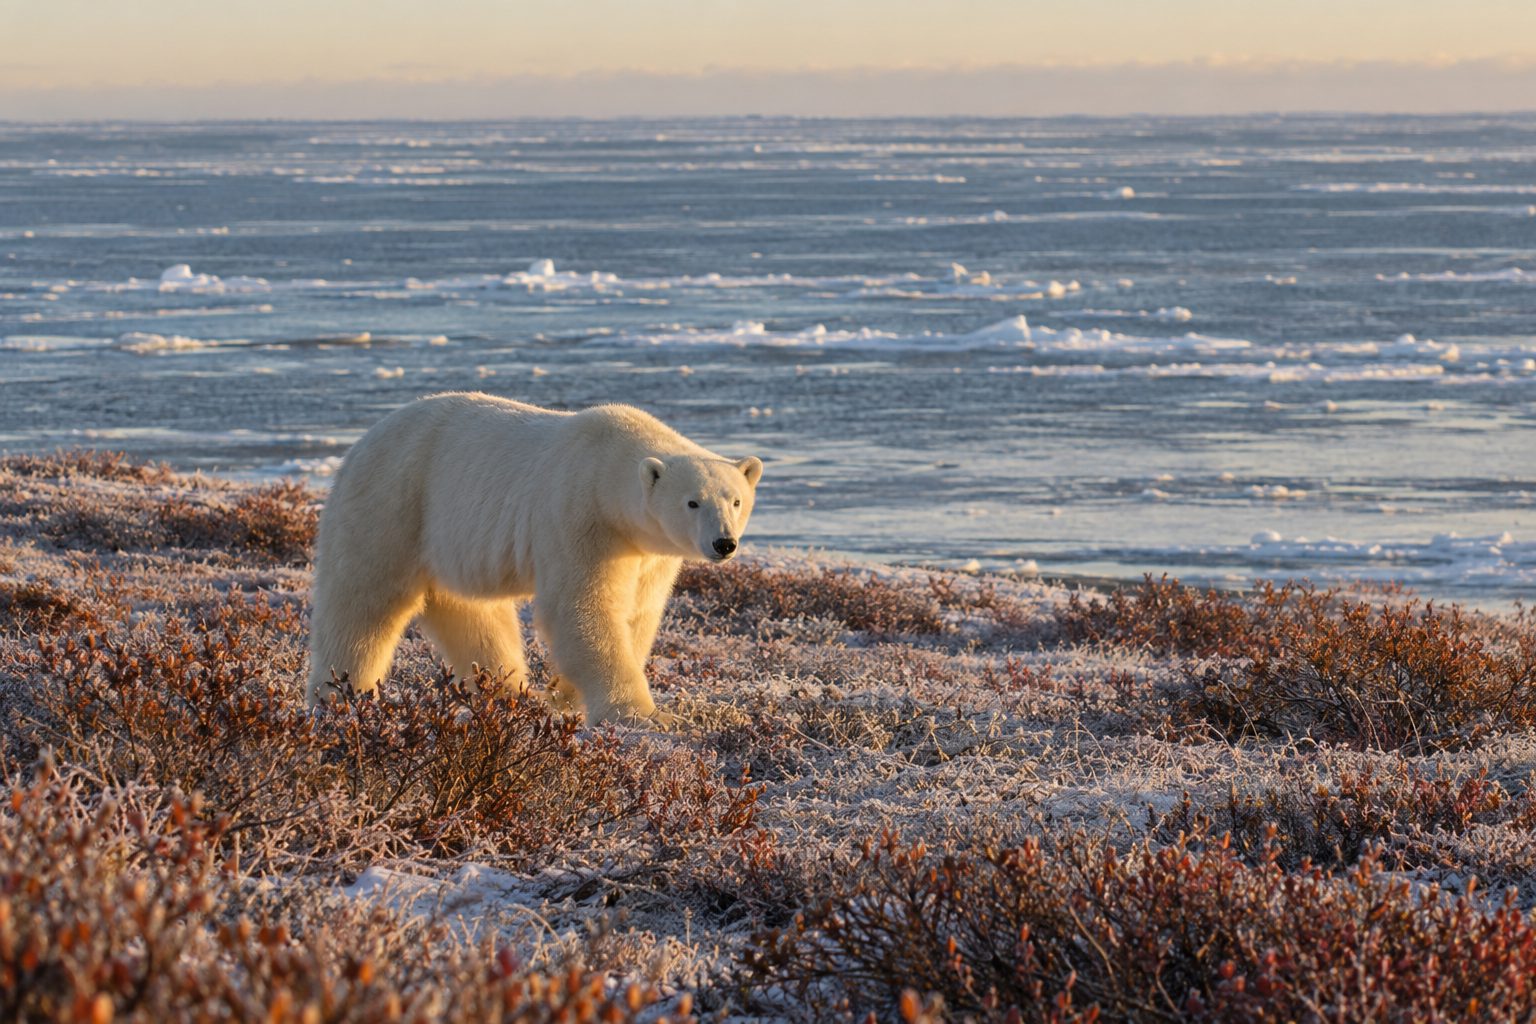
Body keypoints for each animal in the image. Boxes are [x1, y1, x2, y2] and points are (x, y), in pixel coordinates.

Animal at [305, 392, 763, 725]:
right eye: (692, 502)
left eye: (736, 500)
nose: (723, 543)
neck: (608, 465)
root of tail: (359, 445)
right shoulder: (579, 516)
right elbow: (583, 609)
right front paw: (643, 716)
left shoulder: (647, 552)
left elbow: (637, 612)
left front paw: (564, 694)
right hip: (393, 504)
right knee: (362, 604)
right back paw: (339, 697)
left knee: (473, 617)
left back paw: (511, 691)